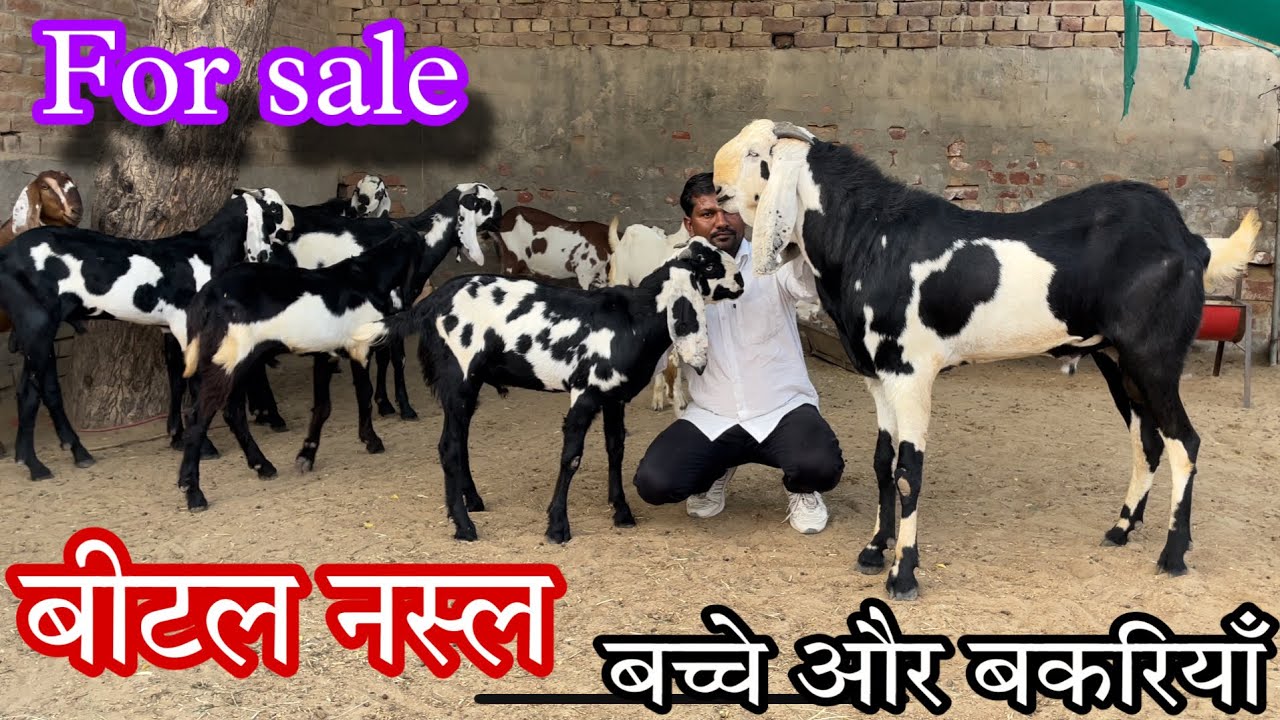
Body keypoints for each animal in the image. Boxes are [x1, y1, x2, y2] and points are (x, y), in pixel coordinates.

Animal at [0, 188, 295, 481]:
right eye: (275, 209)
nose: (291, 230)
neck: (206, 252)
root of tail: (5, 257)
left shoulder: (171, 329)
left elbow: (177, 380)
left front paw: (177, 437)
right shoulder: (189, 328)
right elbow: (193, 385)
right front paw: (205, 446)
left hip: (33, 331)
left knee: (30, 391)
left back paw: (41, 460)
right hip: (37, 324)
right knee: (42, 390)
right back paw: (60, 457)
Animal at [177, 229, 425, 512]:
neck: (366, 278)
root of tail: (206, 298)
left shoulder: (326, 353)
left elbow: (323, 407)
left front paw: (307, 454)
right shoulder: (359, 348)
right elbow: (364, 394)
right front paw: (372, 440)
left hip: (239, 365)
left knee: (233, 413)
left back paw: (263, 466)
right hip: (228, 361)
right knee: (199, 418)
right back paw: (194, 493)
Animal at [240, 183, 502, 432]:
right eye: (487, 204)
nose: (500, 224)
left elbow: (382, 356)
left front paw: (384, 404)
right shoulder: (395, 305)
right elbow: (398, 358)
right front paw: (405, 408)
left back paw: (261, 413)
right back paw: (272, 416)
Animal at [712, 119, 1261, 601]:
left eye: (758, 156)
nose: (716, 190)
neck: (872, 238)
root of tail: (1191, 242)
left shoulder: (911, 372)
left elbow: (909, 469)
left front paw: (903, 575)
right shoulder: (877, 375)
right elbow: (882, 462)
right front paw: (873, 550)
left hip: (1154, 356)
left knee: (1184, 441)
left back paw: (1173, 555)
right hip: (1116, 359)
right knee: (1147, 439)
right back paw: (1122, 528)